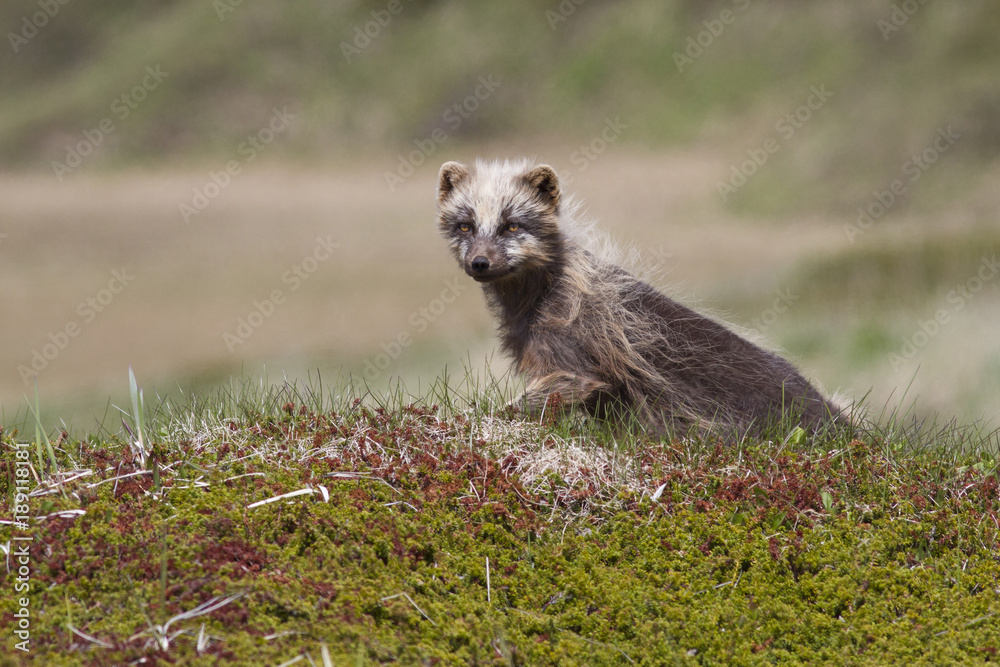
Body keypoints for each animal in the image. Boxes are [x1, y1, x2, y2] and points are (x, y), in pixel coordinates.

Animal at [436, 158, 843, 438]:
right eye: (465, 226)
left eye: (512, 226)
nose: (480, 263)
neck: (538, 294)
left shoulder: (572, 366)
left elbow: (519, 406)